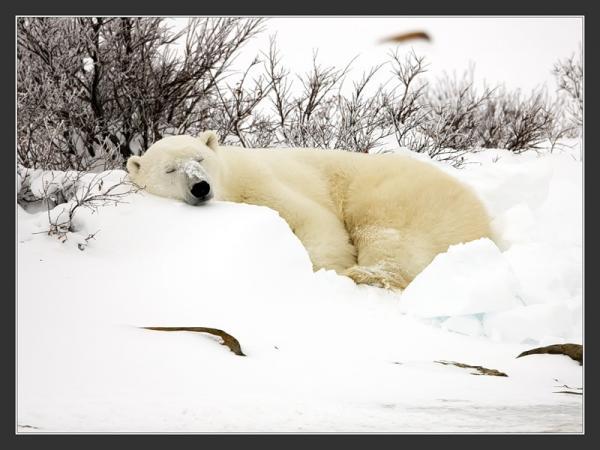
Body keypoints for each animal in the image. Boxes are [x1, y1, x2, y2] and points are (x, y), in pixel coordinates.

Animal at [127, 132, 492, 290]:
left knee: (387, 236)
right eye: (170, 170)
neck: (230, 182)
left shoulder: (260, 181)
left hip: (394, 194)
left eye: (199, 158)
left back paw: (363, 274)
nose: (200, 187)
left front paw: (327, 270)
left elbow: (313, 219)